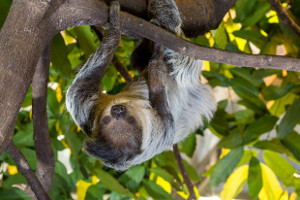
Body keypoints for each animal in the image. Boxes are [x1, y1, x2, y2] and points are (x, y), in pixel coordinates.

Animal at [65, 0, 217, 171]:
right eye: (106, 120)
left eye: (130, 120)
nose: (118, 110)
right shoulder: (161, 133)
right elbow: (80, 87)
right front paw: (116, 32)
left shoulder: (85, 115)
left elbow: (80, 86)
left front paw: (115, 28)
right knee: (170, 26)